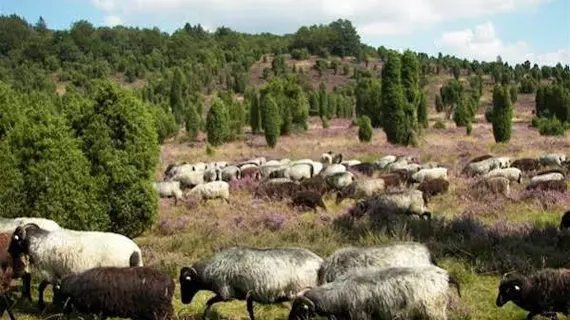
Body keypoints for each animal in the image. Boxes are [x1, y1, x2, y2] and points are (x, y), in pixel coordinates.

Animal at [7, 222, 142, 310]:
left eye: (14, 240)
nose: (9, 251)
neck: (38, 241)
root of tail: (134, 250)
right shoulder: (56, 273)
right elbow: (55, 289)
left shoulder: (49, 271)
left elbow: (43, 287)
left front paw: (42, 305)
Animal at [181, 246, 324, 320]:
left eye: (186, 283)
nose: (184, 301)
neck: (210, 270)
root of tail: (320, 261)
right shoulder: (248, 294)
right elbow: (250, 311)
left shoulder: (226, 294)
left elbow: (209, 302)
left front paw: (205, 316)